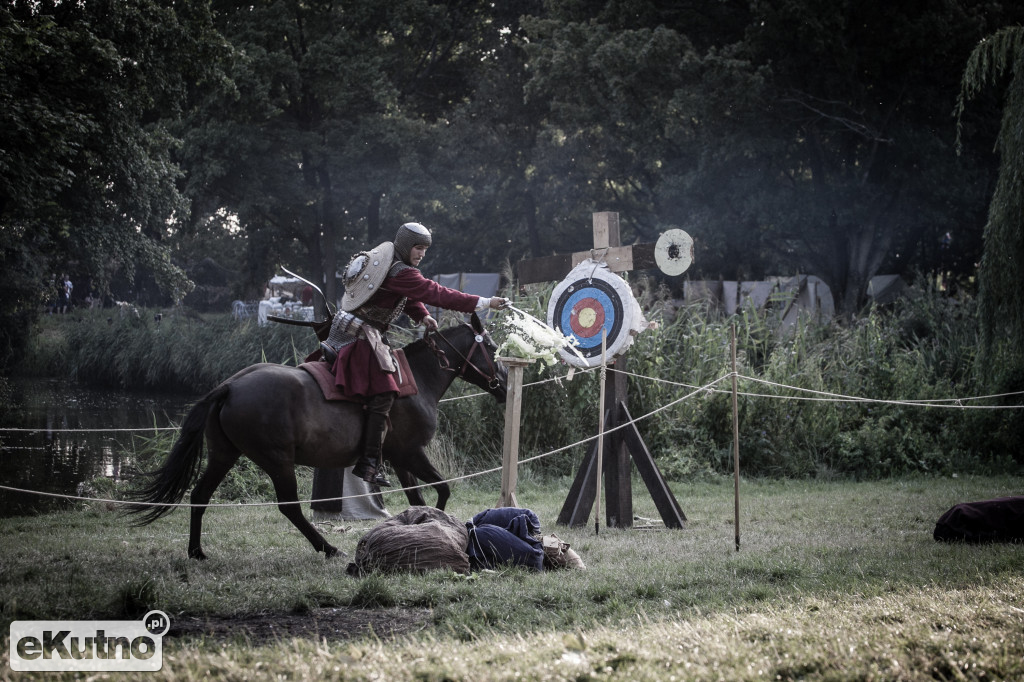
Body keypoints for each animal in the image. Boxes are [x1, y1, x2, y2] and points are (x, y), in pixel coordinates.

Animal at [129, 313, 507, 557]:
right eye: (491, 348)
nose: (503, 384)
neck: (417, 378)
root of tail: (231, 386)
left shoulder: (401, 459)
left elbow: (419, 498)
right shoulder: (411, 452)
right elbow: (442, 490)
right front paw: (441, 527)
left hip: (225, 454)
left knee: (200, 495)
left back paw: (196, 551)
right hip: (277, 460)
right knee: (290, 508)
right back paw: (327, 547)